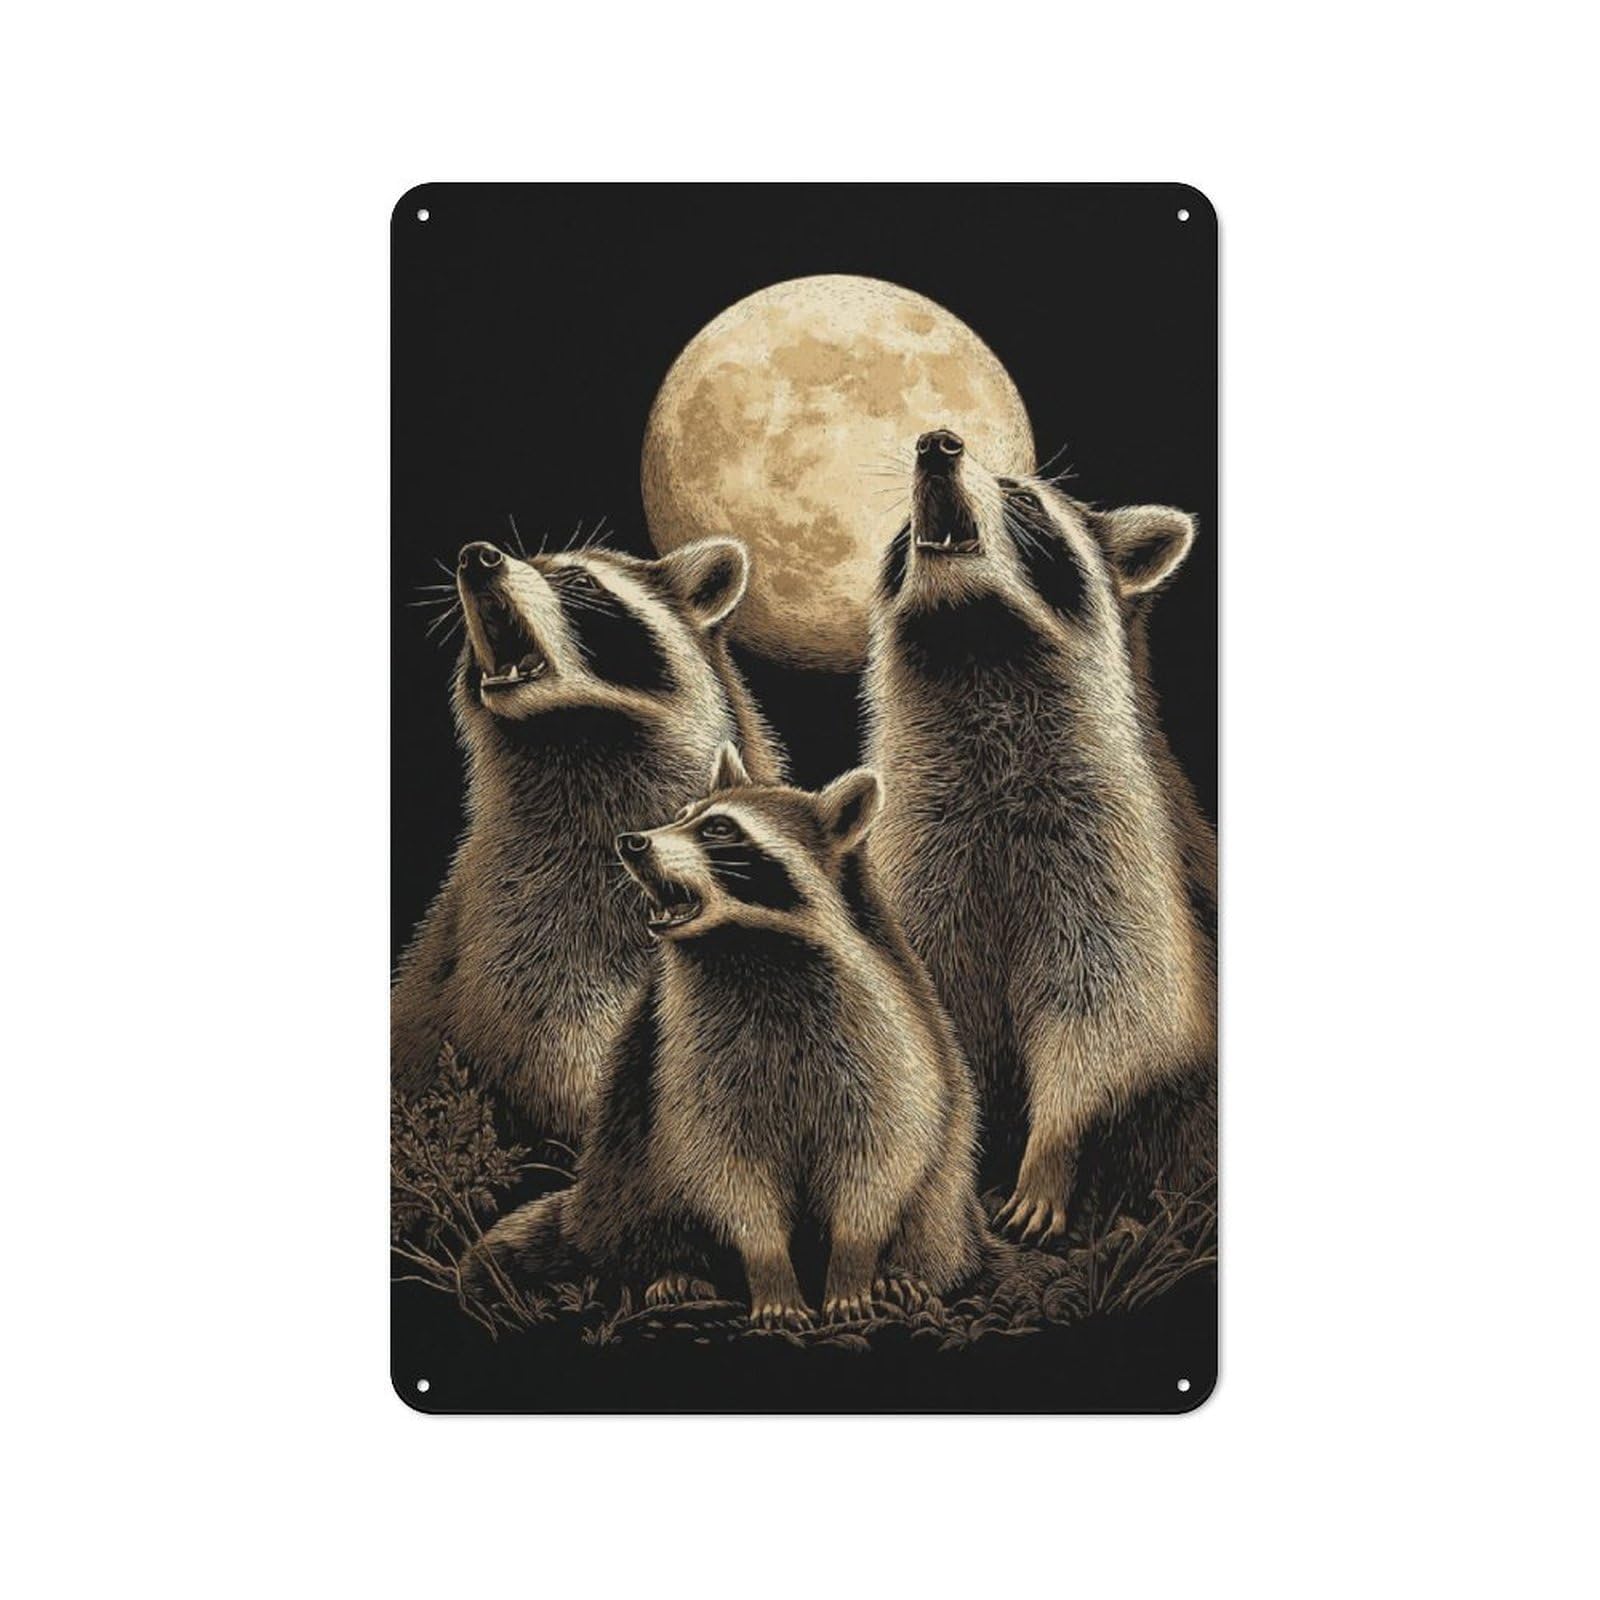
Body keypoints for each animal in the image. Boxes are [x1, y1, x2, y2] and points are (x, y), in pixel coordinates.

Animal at [467, 744, 990, 1326]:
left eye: (719, 828)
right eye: (679, 815)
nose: (631, 841)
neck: (750, 948)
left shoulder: (888, 1034)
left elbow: (881, 1156)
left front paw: (852, 1267)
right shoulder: (684, 1053)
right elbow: (724, 1170)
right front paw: (772, 1274)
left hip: (949, 1202)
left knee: (934, 1203)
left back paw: (905, 1274)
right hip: (619, 1169)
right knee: (644, 1202)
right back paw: (673, 1272)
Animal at [865, 428, 1216, 1244]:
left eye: (1022, 497)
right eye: (901, 524)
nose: (936, 442)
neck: (975, 647)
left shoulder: (1120, 849)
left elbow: (1117, 1015)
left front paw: (1053, 1148)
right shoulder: (913, 853)